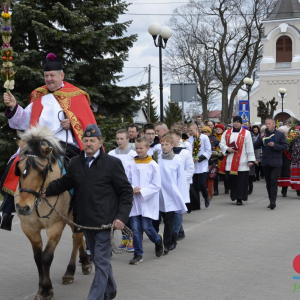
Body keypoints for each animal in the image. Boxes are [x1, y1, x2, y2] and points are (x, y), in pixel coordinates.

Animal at [13, 125, 92, 300]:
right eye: (19, 169)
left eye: (42, 171)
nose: (22, 207)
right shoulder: (29, 228)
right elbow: (38, 258)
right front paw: (41, 288)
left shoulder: (55, 226)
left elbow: (46, 257)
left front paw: (46, 290)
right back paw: (85, 262)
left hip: (73, 216)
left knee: (77, 238)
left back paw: (70, 272)